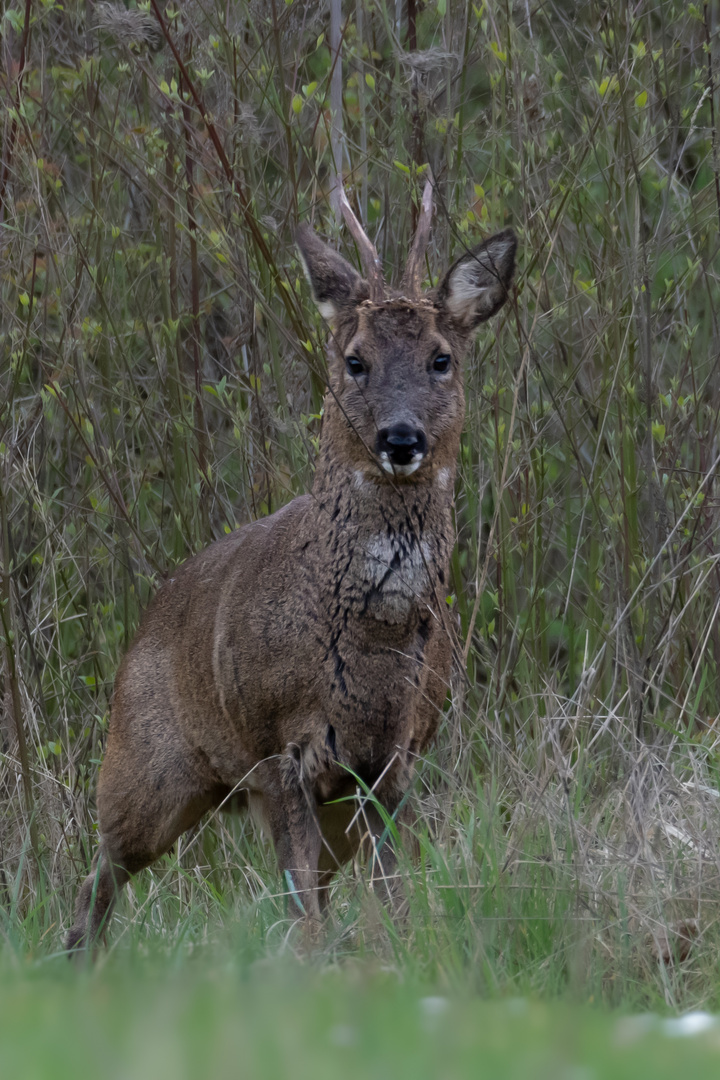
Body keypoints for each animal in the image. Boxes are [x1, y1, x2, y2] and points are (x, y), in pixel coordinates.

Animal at [66, 181, 518, 950]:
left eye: (441, 358)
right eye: (355, 360)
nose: (401, 438)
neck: (372, 649)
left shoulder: (393, 758)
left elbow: (393, 897)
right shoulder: (275, 746)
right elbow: (301, 912)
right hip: (143, 766)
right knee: (99, 872)